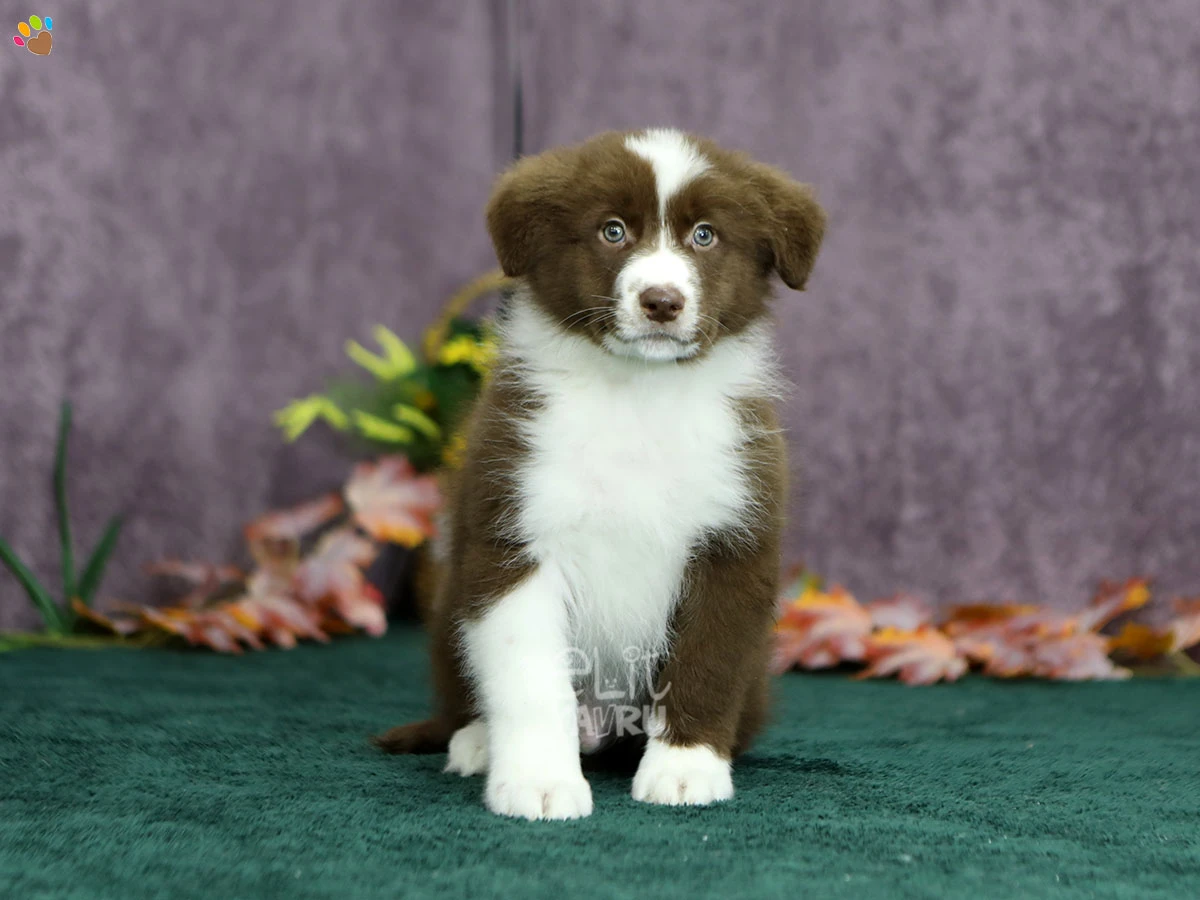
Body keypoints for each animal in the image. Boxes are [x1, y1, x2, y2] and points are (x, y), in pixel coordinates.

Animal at [374, 128, 825, 825]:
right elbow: (530, 675)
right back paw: (475, 741)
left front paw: (685, 770)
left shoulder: (734, 533)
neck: (637, 397)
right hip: (451, 612)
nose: (661, 302)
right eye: (613, 231)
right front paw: (537, 783)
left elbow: (707, 659)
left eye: (705, 236)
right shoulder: (514, 528)